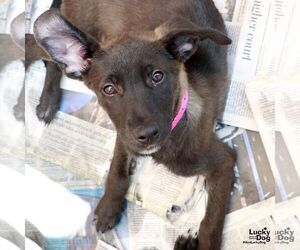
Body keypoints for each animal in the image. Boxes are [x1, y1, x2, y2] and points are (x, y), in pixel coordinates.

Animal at [31, 0, 236, 249]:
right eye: (109, 89)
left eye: (157, 76)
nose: (147, 134)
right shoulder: (125, 132)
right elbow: (117, 170)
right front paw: (109, 207)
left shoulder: (222, 162)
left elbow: (211, 224)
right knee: (51, 62)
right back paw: (47, 102)